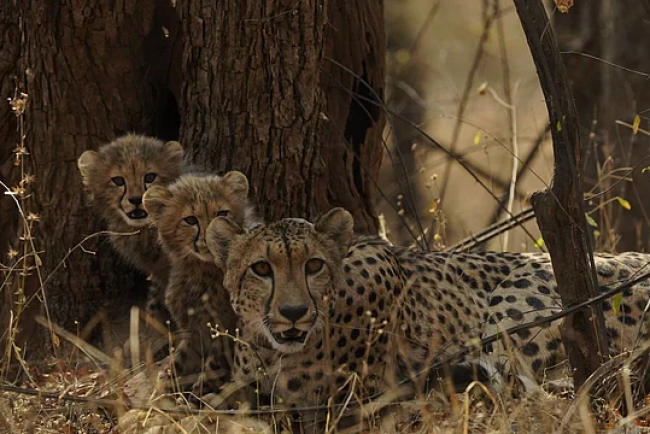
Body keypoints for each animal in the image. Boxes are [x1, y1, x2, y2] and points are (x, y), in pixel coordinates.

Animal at [142, 171, 260, 395]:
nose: (209, 239)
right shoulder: (194, 332)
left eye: (222, 213)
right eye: (190, 220)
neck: (201, 271)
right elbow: (174, 368)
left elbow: (209, 375)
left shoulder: (225, 336)